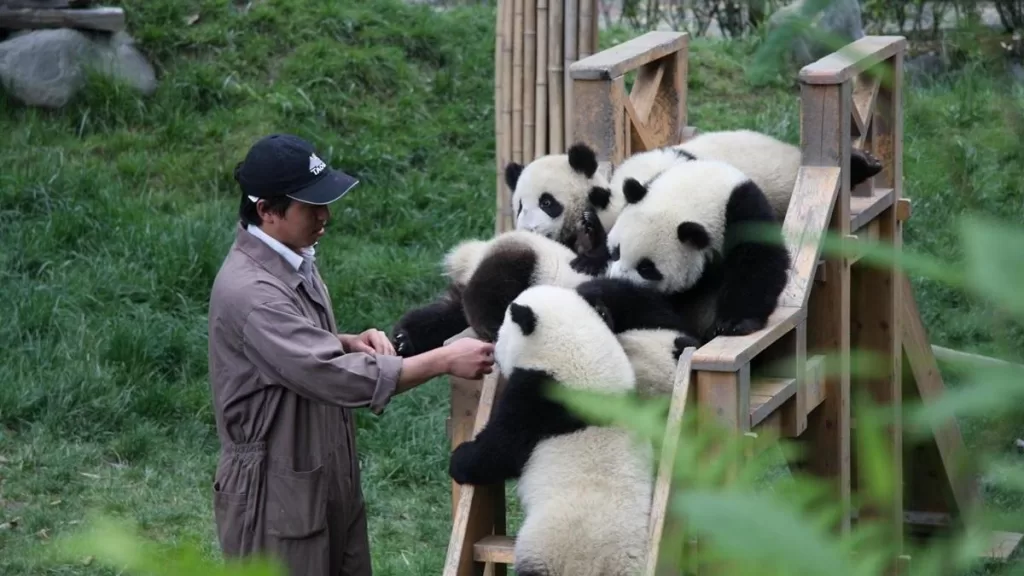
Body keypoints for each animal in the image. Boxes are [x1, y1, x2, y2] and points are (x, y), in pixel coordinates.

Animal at [448, 283, 655, 576]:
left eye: (503, 330)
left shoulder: (538, 399)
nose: (494, 350)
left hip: (549, 544)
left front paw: (460, 459)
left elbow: (502, 450)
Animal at [605, 158, 792, 342]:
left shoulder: (744, 213)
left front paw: (734, 323)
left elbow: (757, 264)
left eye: (646, 268)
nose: (618, 279)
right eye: (616, 252)